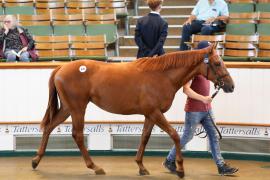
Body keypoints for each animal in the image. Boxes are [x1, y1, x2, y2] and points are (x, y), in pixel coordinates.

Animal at [31, 43, 234, 177]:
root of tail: (60, 68)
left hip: (68, 108)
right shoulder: (155, 113)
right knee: (78, 135)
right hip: (77, 108)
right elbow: (175, 135)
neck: (161, 76)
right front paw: (180, 169)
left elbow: (144, 138)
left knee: (49, 127)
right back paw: (95, 167)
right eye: (217, 63)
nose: (231, 86)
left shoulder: (150, 115)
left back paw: (36, 160)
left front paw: (141, 167)